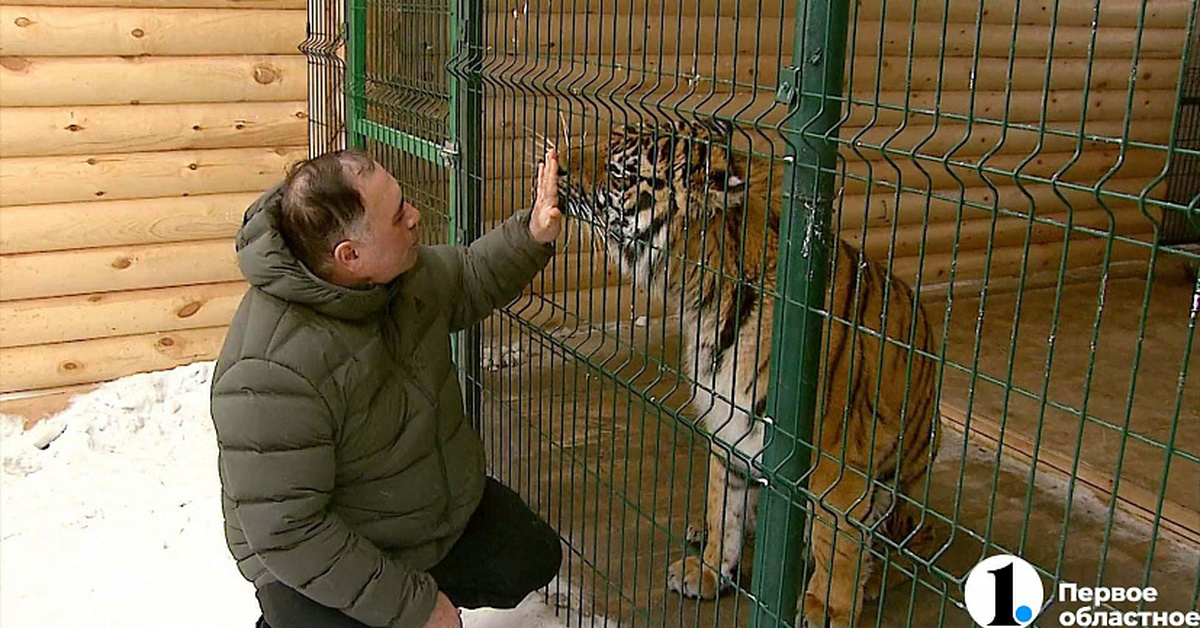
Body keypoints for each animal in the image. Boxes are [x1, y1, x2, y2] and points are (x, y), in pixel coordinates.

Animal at [561, 119, 945, 628]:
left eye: (618, 172)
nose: (552, 163)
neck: (706, 300)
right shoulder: (731, 424)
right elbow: (723, 505)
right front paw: (708, 571)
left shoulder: (841, 454)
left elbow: (836, 540)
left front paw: (826, 607)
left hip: (905, 491)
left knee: (907, 547)